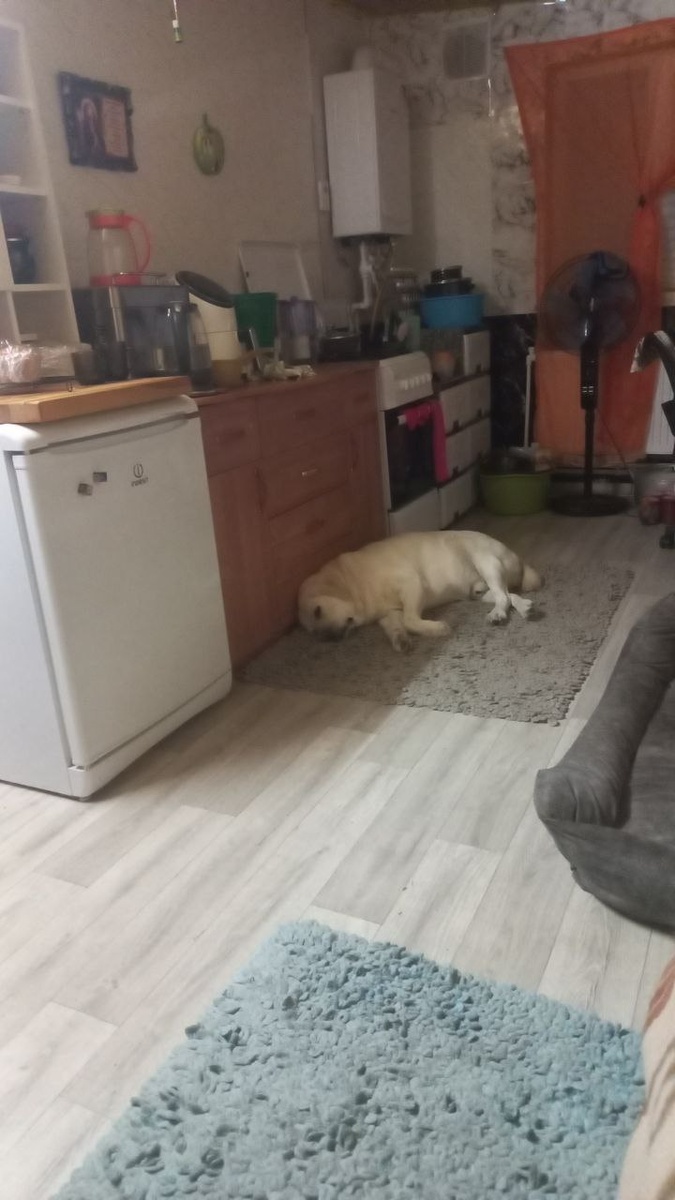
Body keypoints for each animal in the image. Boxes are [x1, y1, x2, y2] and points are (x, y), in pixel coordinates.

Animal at [298, 530, 542, 652]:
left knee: (503, 596)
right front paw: (400, 641)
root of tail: (516, 556)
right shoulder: (388, 614)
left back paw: (498, 614)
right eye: (312, 632)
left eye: (318, 611)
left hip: (487, 562)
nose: (327, 639)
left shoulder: (412, 585)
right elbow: (396, 626)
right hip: (480, 591)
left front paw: (436, 628)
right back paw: (524, 607)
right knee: (509, 596)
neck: (355, 583)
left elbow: (409, 619)